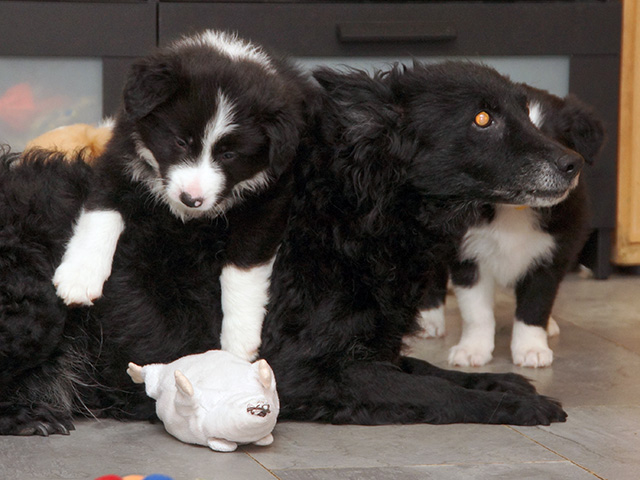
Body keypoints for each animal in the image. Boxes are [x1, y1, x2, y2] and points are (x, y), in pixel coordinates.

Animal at [51, 30, 313, 362]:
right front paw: (79, 276)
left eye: (229, 155)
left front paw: (239, 340)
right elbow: (101, 211)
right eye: (180, 141)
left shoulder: (270, 199)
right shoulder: (119, 155)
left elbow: (243, 267)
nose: (191, 199)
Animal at [414, 86, 604, 368]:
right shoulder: (468, 254)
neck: (515, 208)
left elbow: (535, 306)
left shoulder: (552, 255)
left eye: (555, 140)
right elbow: (476, 312)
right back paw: (429, 320)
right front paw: (472, 350)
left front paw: (531, 348)